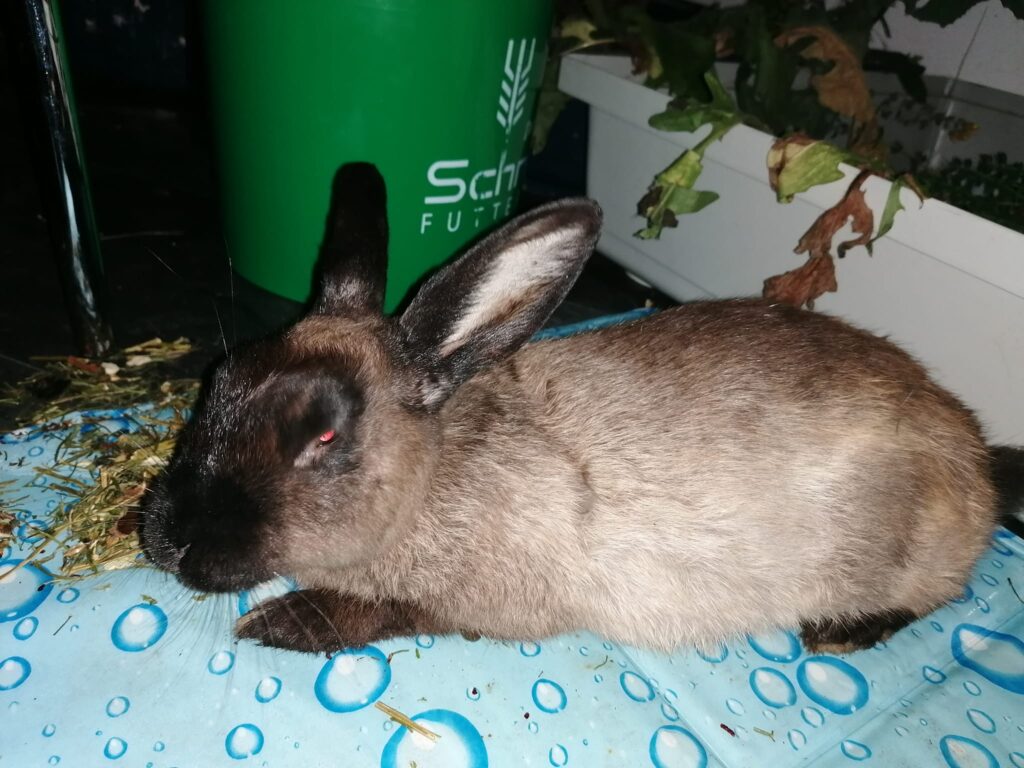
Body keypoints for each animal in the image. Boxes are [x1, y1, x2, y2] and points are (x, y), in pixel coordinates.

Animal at [141, 161, 1002, 657]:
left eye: (322, 433)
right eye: (220, 380)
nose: (166, 540)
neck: (429, 481)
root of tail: (975, 457)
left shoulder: (490, 606)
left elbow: (384, 613)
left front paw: (279, 624)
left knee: (946, 591)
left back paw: (841, 636)